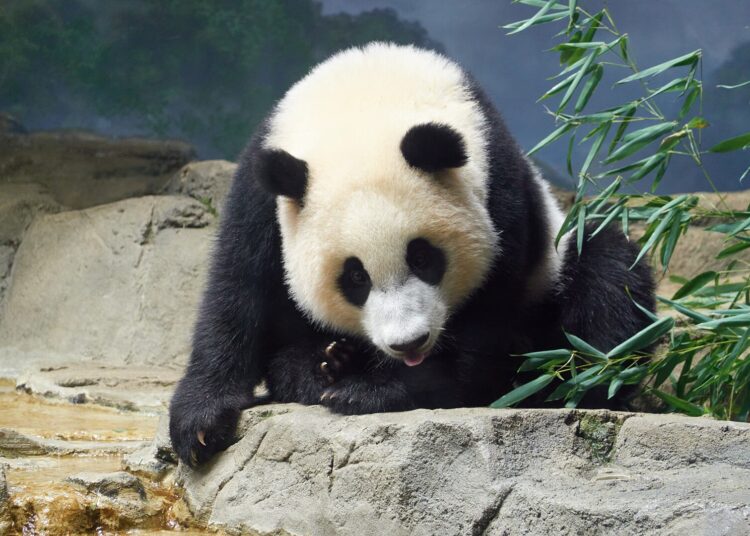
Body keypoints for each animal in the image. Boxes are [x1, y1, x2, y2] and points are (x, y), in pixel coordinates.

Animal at [169, 42, 655, 466]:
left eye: (423, 258)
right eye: (355, 278)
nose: (408, 343)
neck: (363, 104)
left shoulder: (499, 187)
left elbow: (486, 315)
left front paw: (374, 391)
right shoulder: (263, 194)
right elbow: (237, 289)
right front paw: (200, 424)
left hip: (561, 263)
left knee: (608, 287)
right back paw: (323, 363)